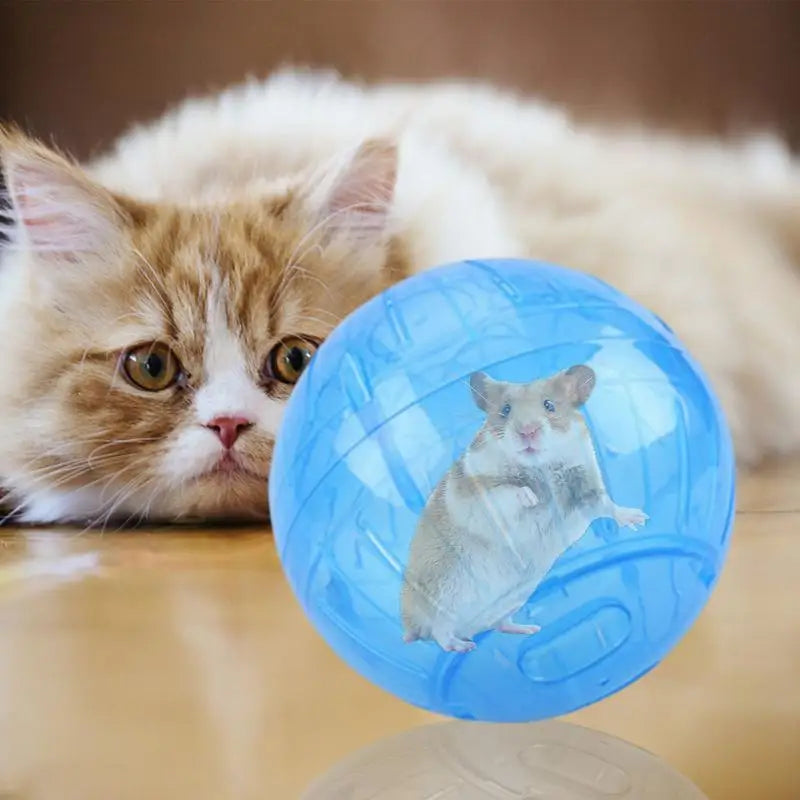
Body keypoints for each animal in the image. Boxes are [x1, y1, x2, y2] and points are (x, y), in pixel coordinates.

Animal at [400, 365, 647, 653]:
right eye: (505, 410)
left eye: (549, 405)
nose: (528, 431)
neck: (540, 466)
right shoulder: (475, 491)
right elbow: (506, 491)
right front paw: (531, 498)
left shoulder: (586, 489)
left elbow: (606, 506)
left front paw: (639, 518)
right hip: (442, 597)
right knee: (439, 633)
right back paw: (462, 647)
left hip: (510, 602)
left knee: (498, 625)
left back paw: (529, 629)